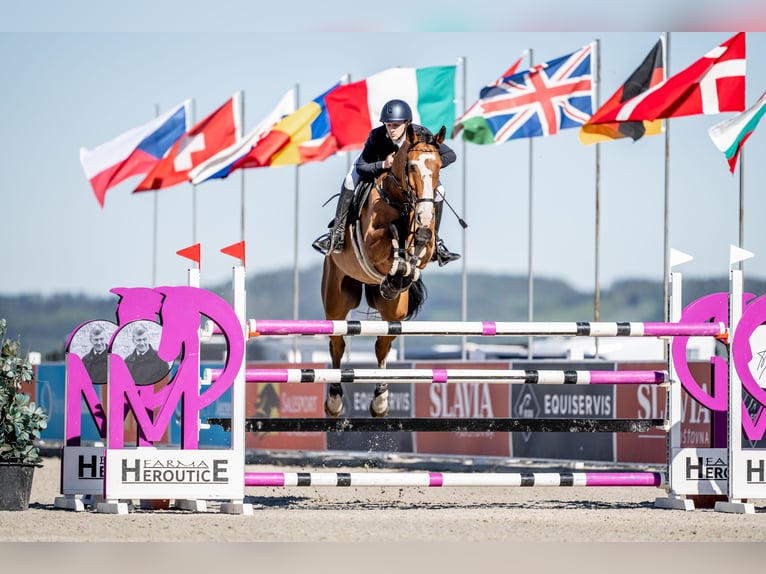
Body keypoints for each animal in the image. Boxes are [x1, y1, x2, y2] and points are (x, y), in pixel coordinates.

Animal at [320, 124, 450, 418]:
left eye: (438, 166)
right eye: (411, 166)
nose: (425, 216)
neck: (402, 202)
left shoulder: (425, 244)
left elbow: (420, 245)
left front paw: (405, 267)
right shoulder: (372, 243)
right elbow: (389, 234)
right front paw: (399, 259)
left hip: (394, 312)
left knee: (382, 345)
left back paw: (380, 401)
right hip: (337, 299)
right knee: (337, 343)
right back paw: (334, 401)